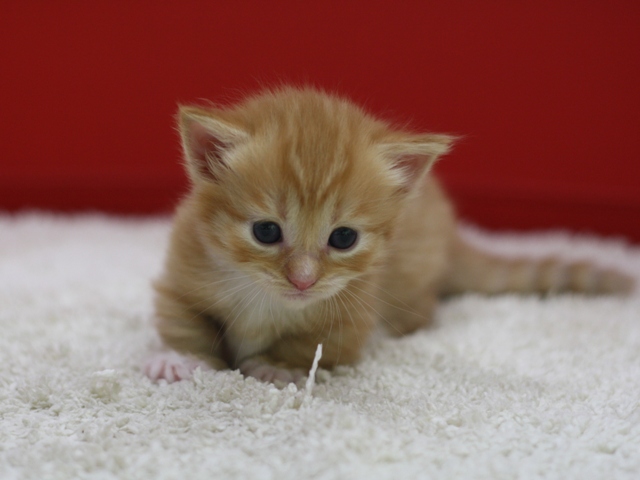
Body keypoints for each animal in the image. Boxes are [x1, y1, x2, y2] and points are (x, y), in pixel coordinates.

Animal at [146, 86, 636, 386]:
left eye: (343, 239)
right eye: (266, 231)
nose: (303, 281)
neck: (268, 300)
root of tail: (452, 235)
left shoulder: (354, 311)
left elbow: (316, 344)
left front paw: (275, 365)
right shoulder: (184, 270)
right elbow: (184, 320)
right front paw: (181, 357)